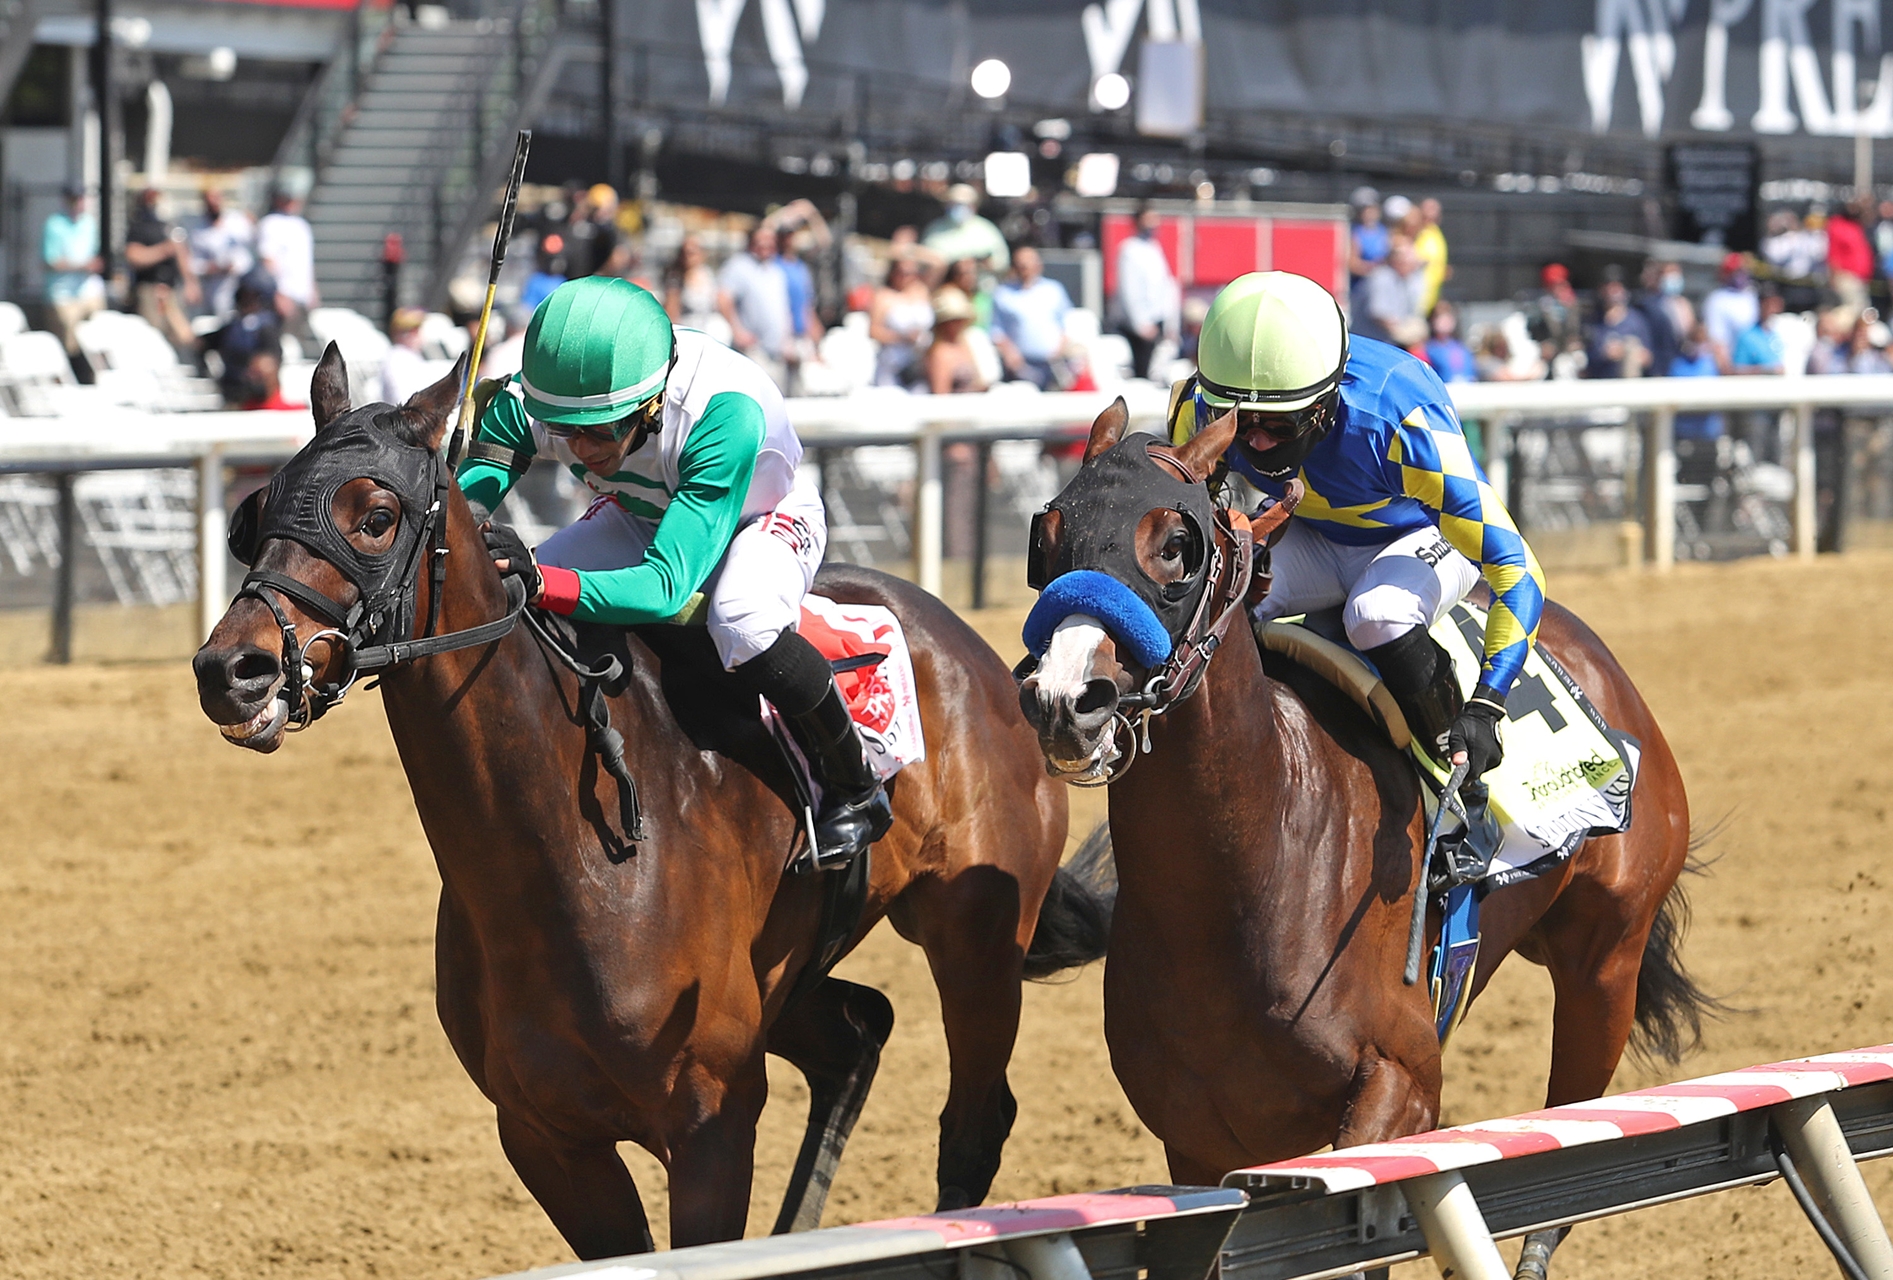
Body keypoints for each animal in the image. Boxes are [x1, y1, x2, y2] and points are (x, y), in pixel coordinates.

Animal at [188, 348, 1105, 1257]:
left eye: (377, 516)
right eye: (252, 514)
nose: (232, 670)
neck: (569, 862)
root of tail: (973, 647)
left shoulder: (711, 1126)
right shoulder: (545, 1136)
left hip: (973, 938)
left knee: (974, 1121)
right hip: (789, 976)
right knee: (858, 1032)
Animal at [1022, 399, 1718, 1280]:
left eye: (1175, 544)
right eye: (1047, 533)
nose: (1063, 700)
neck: (1249, 880)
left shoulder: (1401, 1088)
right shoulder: (1199, 1140)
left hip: (1606, 958)